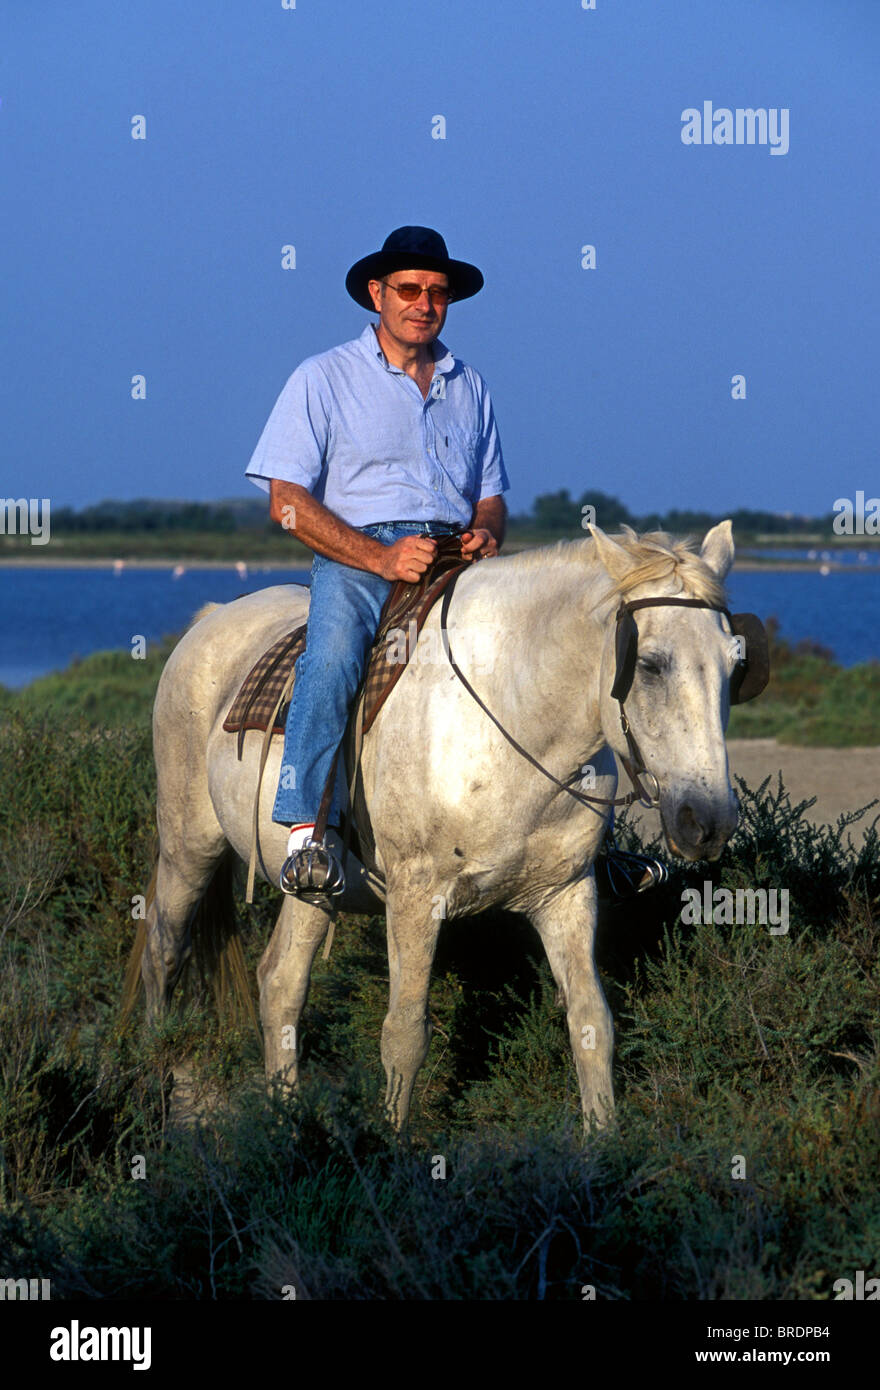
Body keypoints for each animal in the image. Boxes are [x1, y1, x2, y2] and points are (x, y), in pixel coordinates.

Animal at [122, 520, 757, 1130]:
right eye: (648, 665)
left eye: (736, 667)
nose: (708, 822)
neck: (511, 715)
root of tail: (210, 619)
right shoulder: (414, 898)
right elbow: (404, 1035)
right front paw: (392, 1143)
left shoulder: (566, 894)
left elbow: (592, 1025)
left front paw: (603, 1144)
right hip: (188, 846)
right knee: (164, 952)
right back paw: (153, 1074)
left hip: (311, 885)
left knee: (280, 982)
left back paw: (287, 1121)